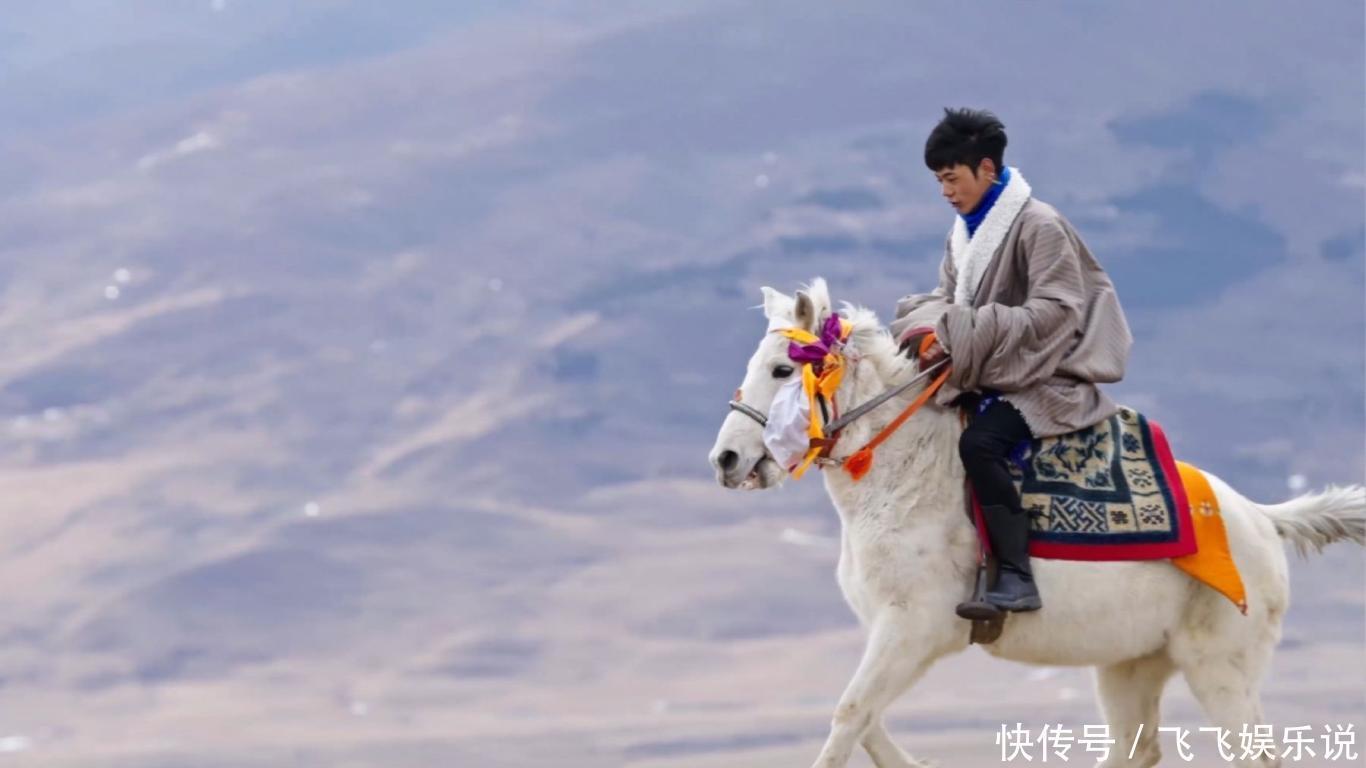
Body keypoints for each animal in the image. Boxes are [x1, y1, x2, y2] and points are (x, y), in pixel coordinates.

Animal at [707, 278, 1365, 768]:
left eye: (783, 371)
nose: (727, 460)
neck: (903, 476)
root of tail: (1261, 518)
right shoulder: (887, 633)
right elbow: (864, 718)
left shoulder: (914, 630)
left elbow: (849, 714)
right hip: (1130, 666)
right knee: (1135, 748)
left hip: (1220, 667)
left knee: (1253, 754)